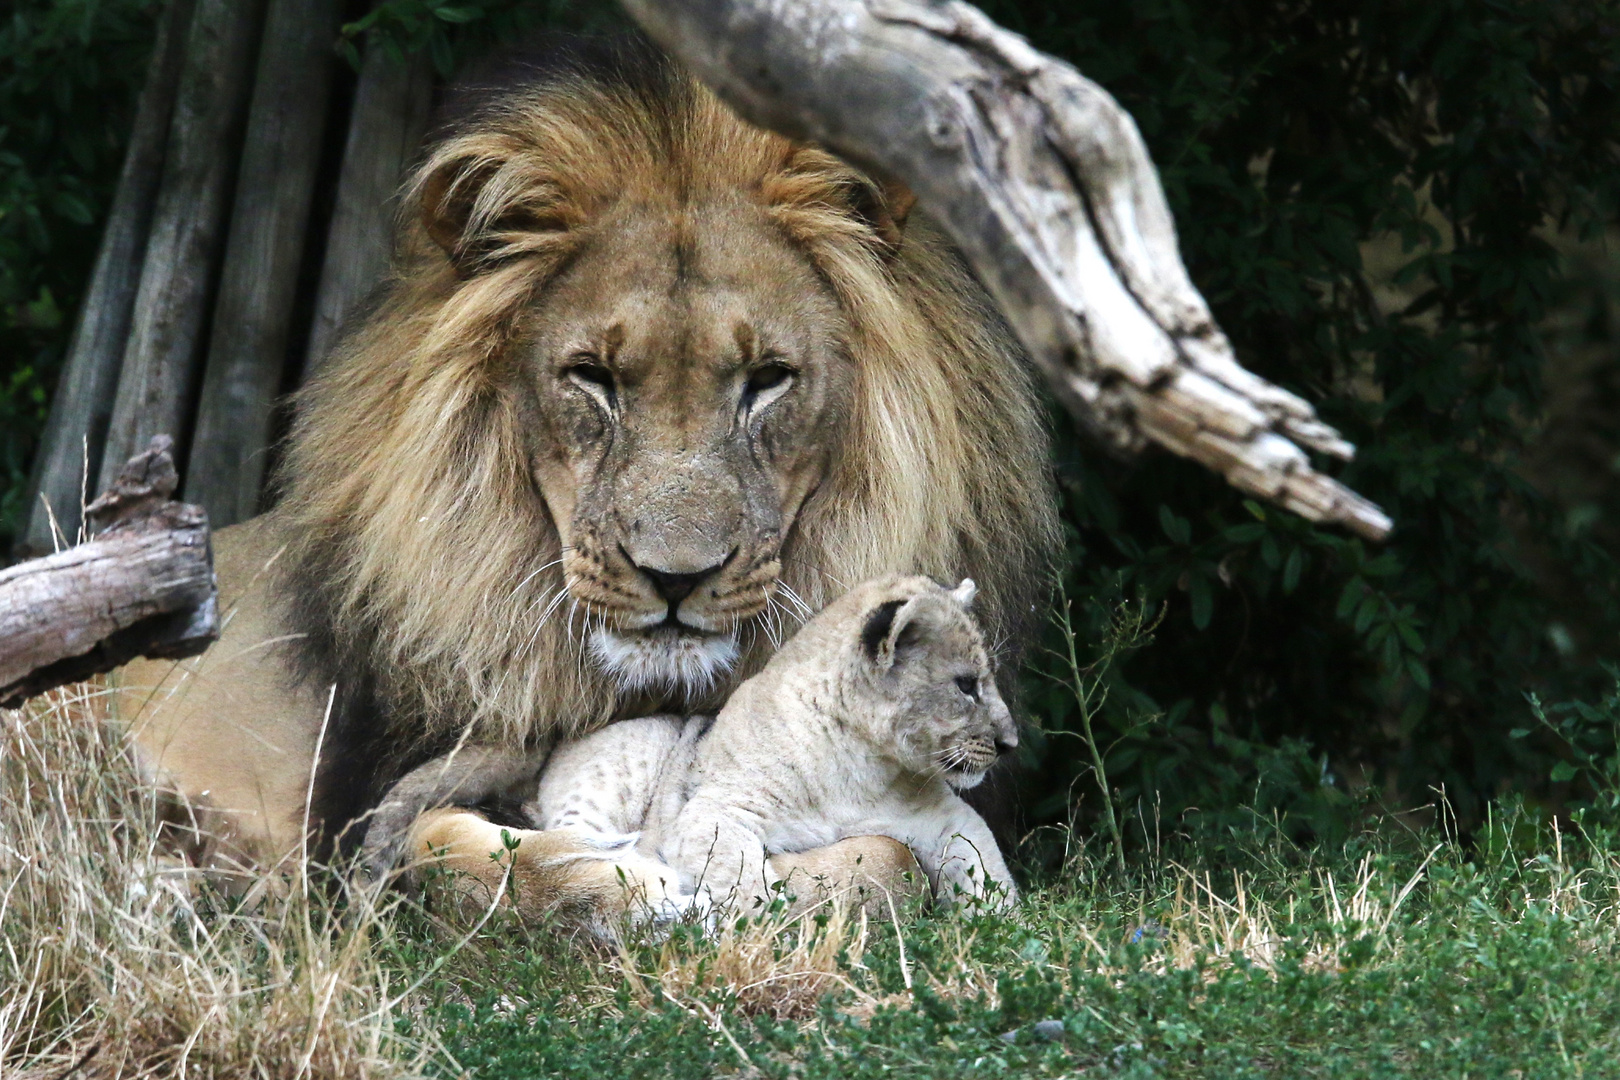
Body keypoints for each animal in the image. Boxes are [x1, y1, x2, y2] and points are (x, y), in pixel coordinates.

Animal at [110, 38, 1049, 926]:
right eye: (592, 377)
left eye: (768, 380)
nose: (676, 579)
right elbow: (452, 844)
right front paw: (629, 891)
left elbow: (890, 856)